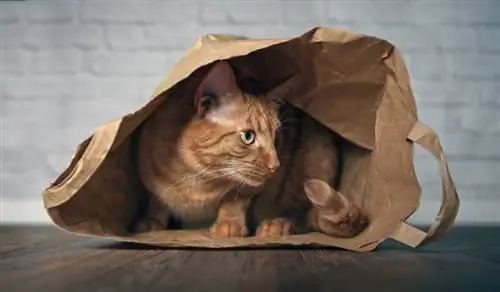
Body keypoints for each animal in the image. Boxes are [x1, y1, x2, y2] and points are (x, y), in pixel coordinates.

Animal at [135, 60, 370, 238]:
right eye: (248, 137)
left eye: (276, 137)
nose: (276, 165)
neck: (200, 179)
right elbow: (156, 202)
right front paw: (150, 221)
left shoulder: (251, 189)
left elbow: (235, 198)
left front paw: (229, 223)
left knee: (302, 216)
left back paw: (278, 224)